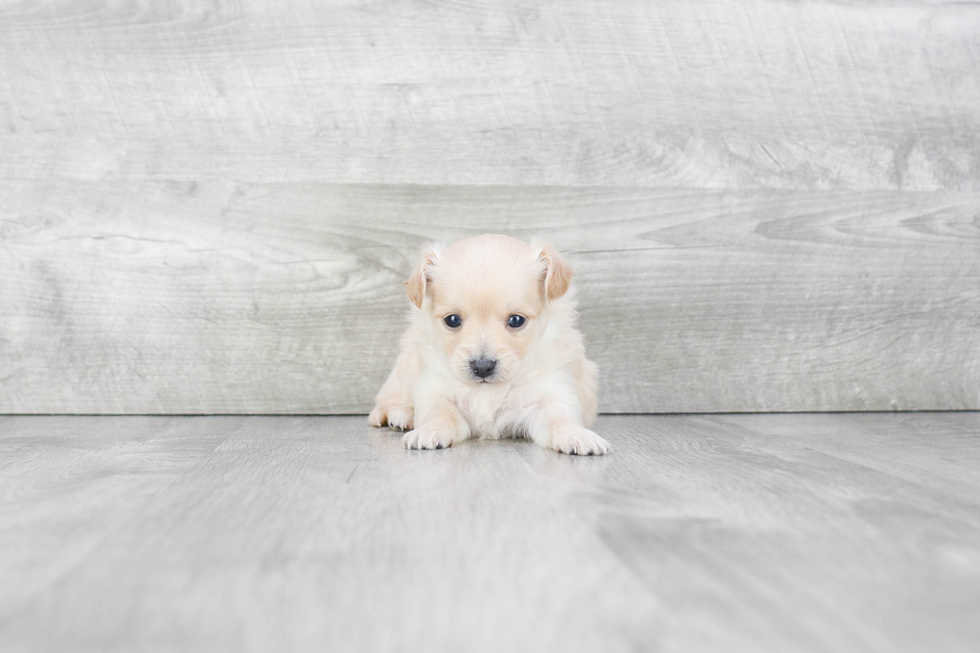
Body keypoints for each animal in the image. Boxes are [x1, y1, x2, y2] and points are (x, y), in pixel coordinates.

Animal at [370, 233, 608, 454]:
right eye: (452, 320)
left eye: (516, 320)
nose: (482, 367)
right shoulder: (434, 387)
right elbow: (441, 412)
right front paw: (429, 431)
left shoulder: (551, 391)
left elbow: (558, 417)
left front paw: (577, 435)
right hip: (405, 369)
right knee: (387, 402)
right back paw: (402, 416)